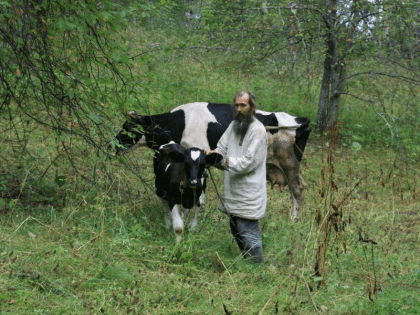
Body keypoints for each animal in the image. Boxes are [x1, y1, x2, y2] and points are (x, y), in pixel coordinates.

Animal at [112, 103, 312, 220]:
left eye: (128, 127)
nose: (111, 144)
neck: (181, 122)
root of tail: (298, 119)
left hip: (290, 163)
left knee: (297, 190)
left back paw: (294, 222)